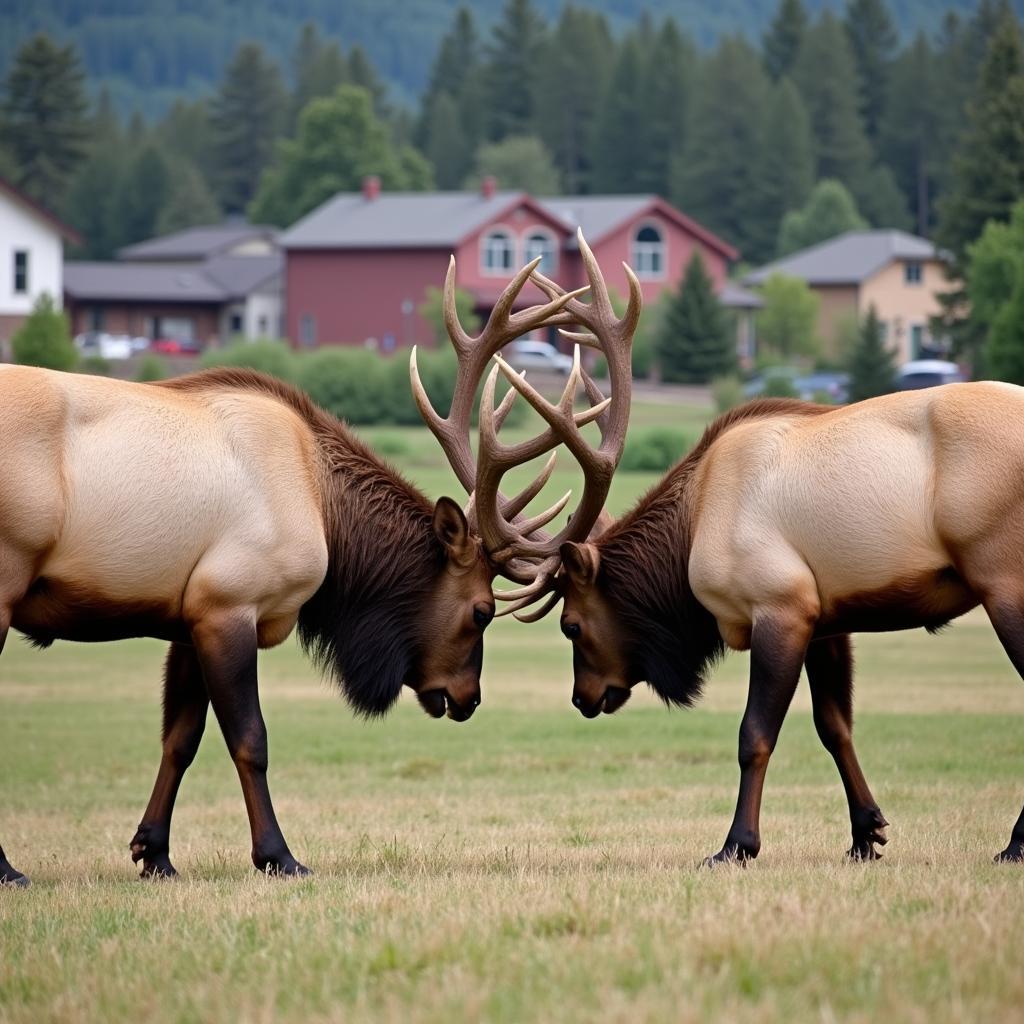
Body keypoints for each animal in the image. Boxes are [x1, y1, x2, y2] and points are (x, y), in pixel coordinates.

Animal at [0, 241, 634, 888]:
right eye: (481, 611)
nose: (469, 698)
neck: (325, 510)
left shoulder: (189, 611)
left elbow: (180, 738)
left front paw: (154, 853)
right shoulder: (229, 603)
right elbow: (250, 738)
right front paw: (277, 855)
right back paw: (8, 868)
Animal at [497, 360, 1024, 864]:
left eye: (570, 626)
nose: (581, 697)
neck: (691, 528)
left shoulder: (781, 606)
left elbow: (754, 734)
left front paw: (736, 845)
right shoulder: (825, 619)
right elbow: (835, 726)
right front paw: (865, 834)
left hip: (1003, 578)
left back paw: (1014, 844)